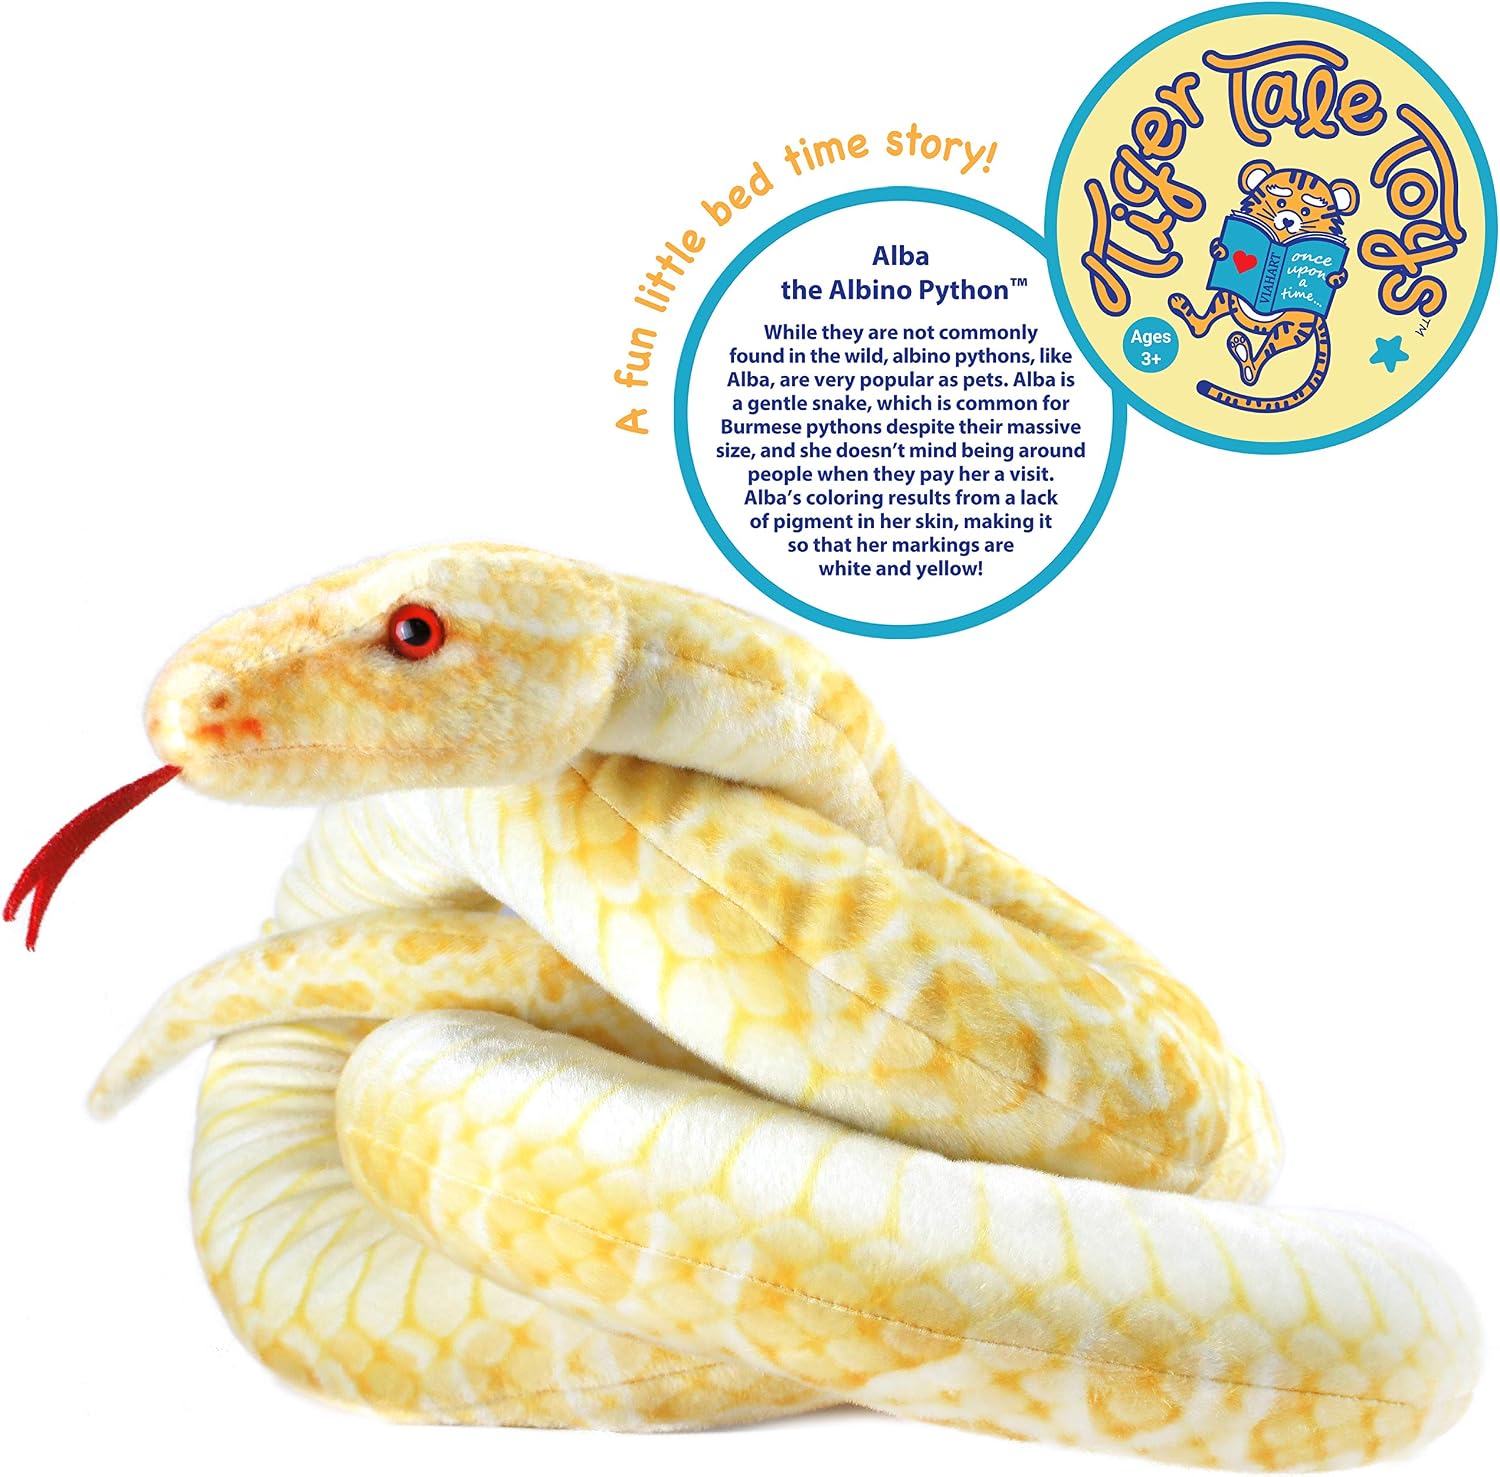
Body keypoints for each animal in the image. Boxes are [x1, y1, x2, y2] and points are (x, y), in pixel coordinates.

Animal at [1167, 161, 1359, 413]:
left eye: (1306, 212)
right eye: (1281, 203)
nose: (1288, 220)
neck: (1280, 238)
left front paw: (1334, 277)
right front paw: (1219, 248)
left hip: (1291, 328)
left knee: (1263, 356)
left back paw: (1244, 356)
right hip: (1227, 296)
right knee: (1205, 323)